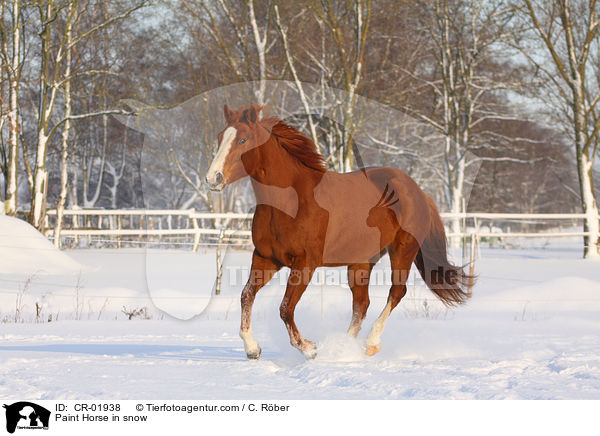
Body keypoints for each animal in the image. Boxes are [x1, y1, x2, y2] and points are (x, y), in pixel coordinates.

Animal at [206, 104, 474, 360]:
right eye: (219, 137)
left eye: (243, 140)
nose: (212, 178)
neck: (290, 202)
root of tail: (418, 191)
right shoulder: (266, 258)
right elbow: (246, 295)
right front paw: (252, 348)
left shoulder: (306, 262)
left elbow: (285, 308)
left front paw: (309, 349)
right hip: (361, 261)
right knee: (361, 305)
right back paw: (344, 347)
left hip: (403, 250)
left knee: (396, 292)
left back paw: (369, 343)